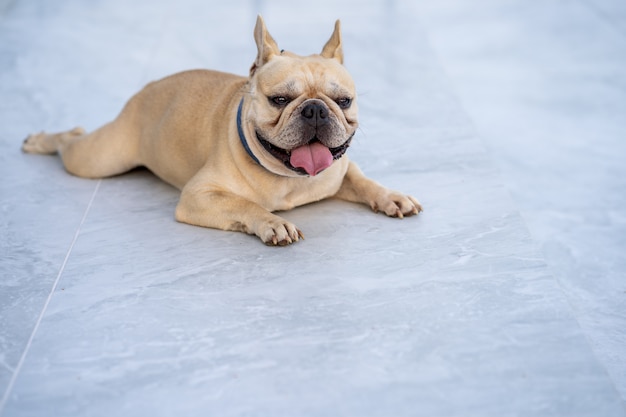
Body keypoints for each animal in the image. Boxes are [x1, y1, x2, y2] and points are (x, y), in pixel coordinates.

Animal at [22, 15, 422, 244]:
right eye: (279, 100)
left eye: (343, 101)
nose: (314, 110)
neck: (289, 178)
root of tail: (147, 88)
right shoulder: (198, 195)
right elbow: (243, 203)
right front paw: (271, 222)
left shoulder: (341, 170)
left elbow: (364, 180)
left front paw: (391, 195)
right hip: (98, 159)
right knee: (71, 143)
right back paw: (41, 140)